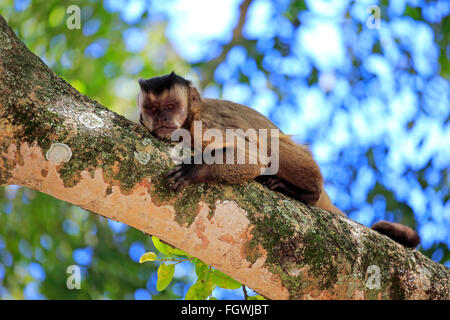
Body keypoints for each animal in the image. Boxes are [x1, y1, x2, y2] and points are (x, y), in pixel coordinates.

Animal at [137, 72, 422, 248]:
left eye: (171, 106)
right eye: (153, 109)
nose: (163, 118)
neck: (188, 122)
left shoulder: (204, 125)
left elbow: (254, 157)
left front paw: (194, 170)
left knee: (271, 144)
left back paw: (304, 193)